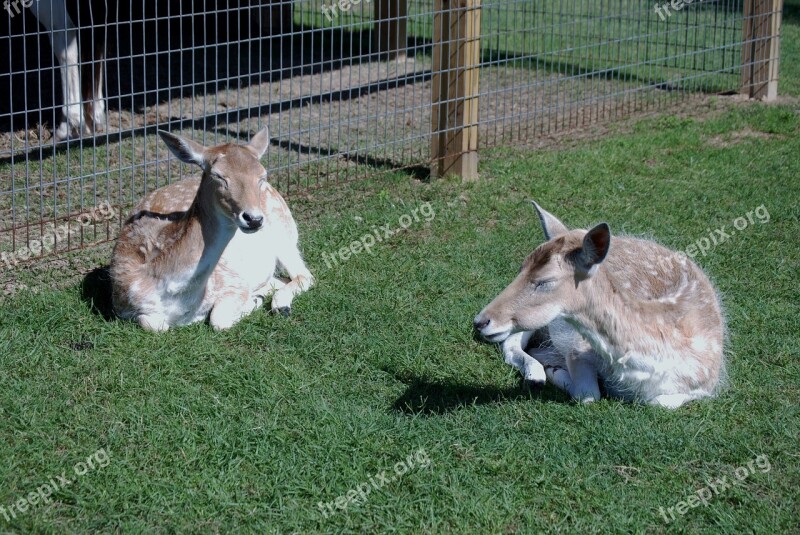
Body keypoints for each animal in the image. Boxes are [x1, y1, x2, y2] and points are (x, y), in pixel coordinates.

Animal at [110, 129, 316, 330]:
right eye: (218, 175)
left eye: (262, 176)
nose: (254, 219)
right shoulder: (122, 308)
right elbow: (152, 324)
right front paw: (256, 298)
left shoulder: (233, 281)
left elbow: (218, 320)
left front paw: (253, 301)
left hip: (284, 233)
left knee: (304, 275)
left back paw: (280, 305)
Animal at [472, 202, 728, 410]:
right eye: (520, 268)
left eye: (545, 281)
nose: (480, 321)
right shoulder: (578, 346)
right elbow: (588, 394)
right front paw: (556, 372)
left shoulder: (707, 383)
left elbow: (659, 402)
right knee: (511, 343)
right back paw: (537, 375)